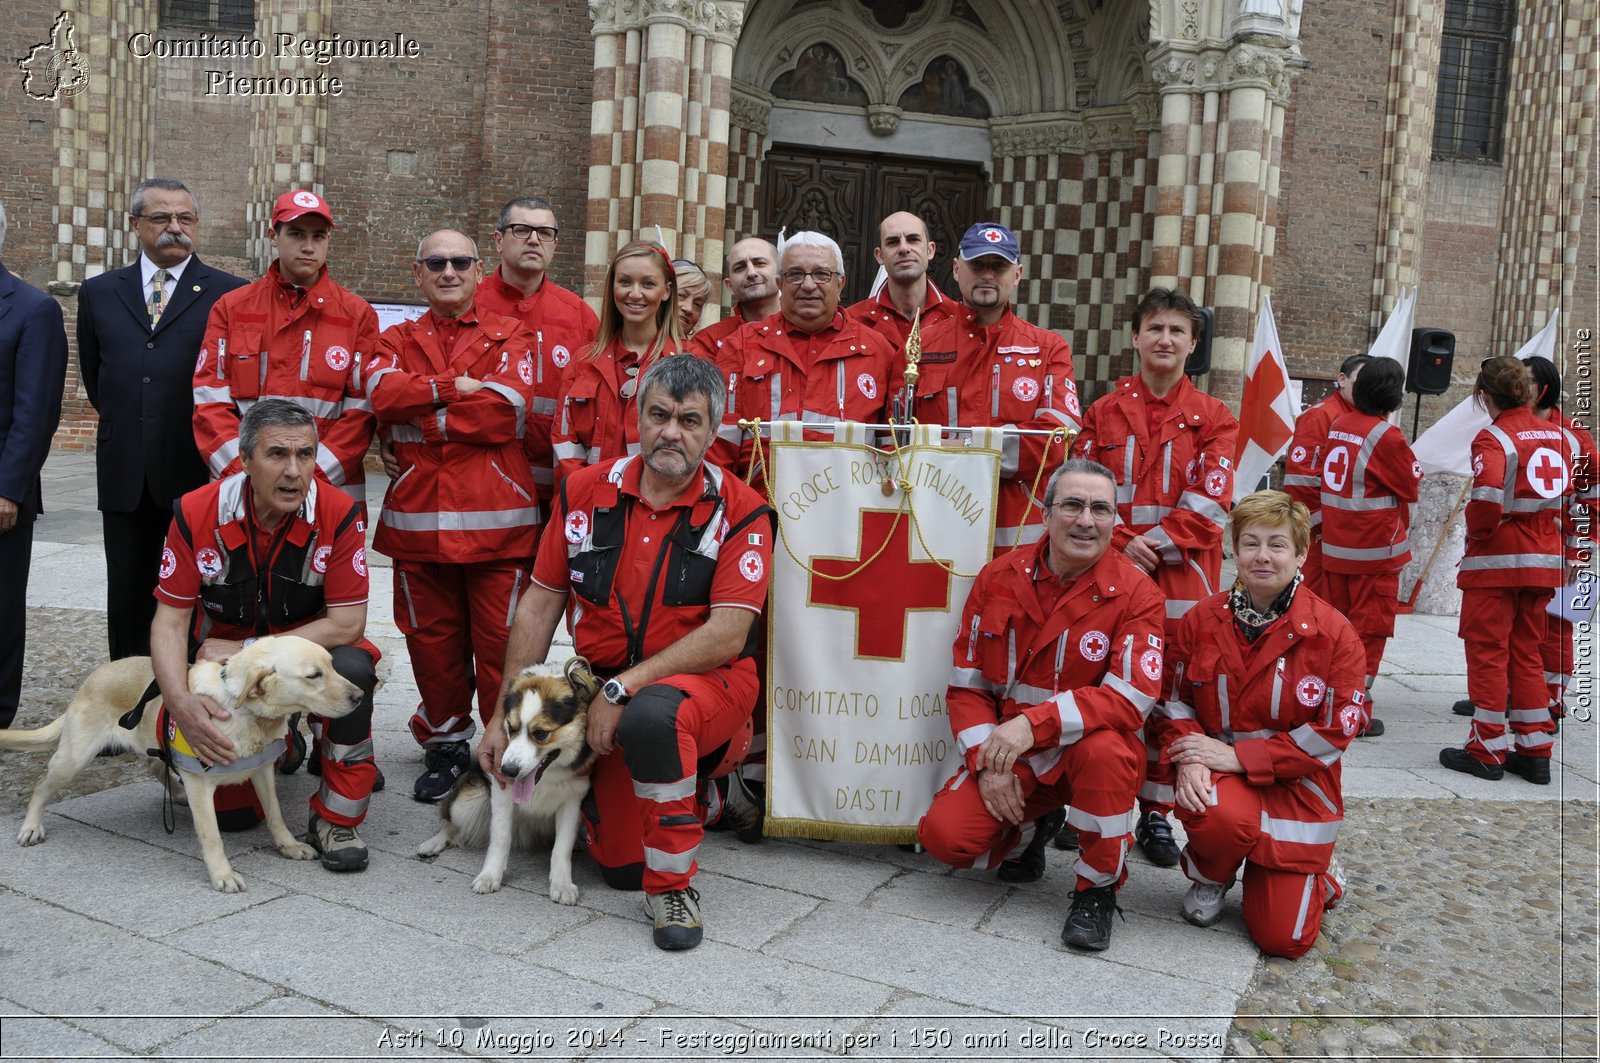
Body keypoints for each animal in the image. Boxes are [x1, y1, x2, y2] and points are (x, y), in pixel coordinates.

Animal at [0, 633, 361, 890]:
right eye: (314, 675)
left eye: (332, 666)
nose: (359, 696)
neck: (244, 712)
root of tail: (93, 677)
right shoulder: (202, 784)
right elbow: (211, 834)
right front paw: (222, 875)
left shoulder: (260, 771)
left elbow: (275, 816)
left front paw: (289, 847)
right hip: (73, 759)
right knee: (40, 786)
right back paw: (31, 826)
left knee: (157, 764)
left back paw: (176, 792)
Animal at [419, 659, 601, 902]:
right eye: (511, 728)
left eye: (540, 734)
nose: (508, 770)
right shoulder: (502, 791)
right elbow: (500, 837)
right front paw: (490, 875)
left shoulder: (573, 798)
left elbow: (561, 847)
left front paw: (562, 883)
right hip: (469, 800)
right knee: (453, 825)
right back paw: (433, 842)